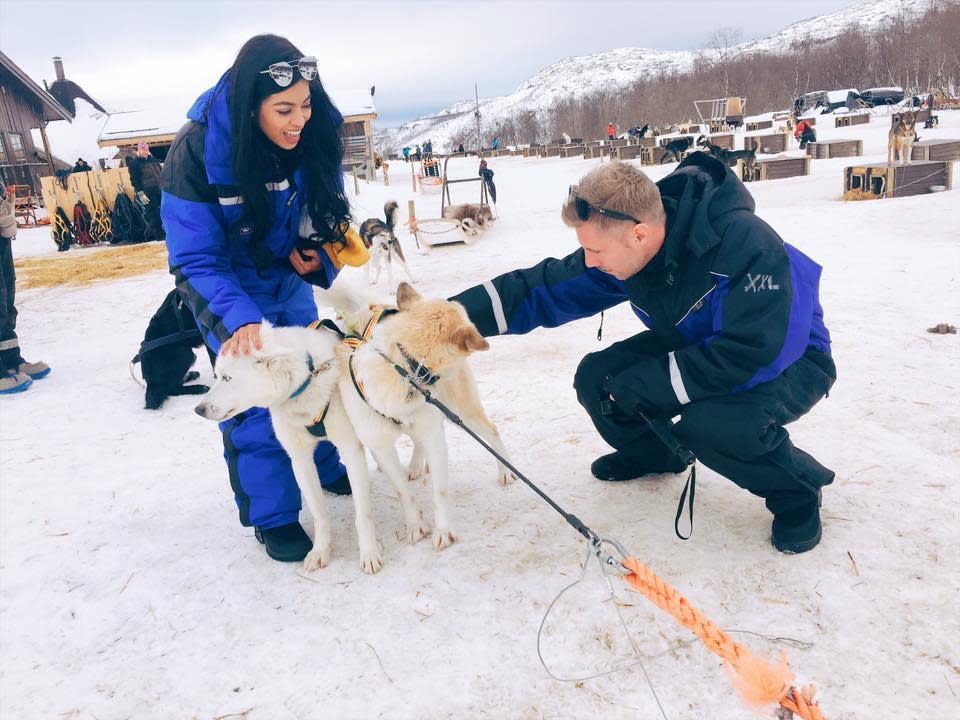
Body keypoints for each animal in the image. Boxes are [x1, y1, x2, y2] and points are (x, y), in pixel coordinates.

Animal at [191, 286, 512, 572]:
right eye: (218, 376)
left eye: (227, 378)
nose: (199, 409)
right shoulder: (305, 457)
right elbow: (328, 510)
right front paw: (321, 550)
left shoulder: (358, 448)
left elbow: (387, 505)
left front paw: (378, 549)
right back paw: (414, 467)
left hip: (461, 411)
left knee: (491, 430)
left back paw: (505, 471)